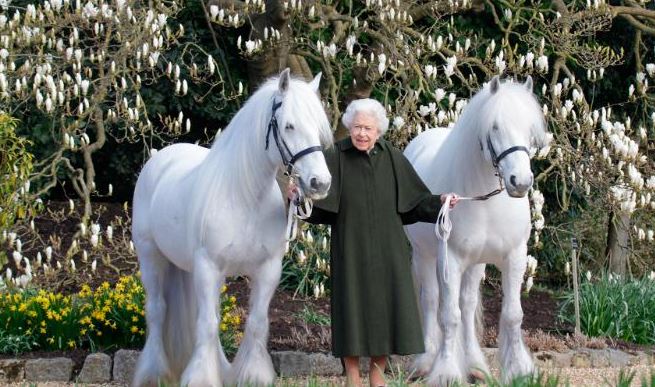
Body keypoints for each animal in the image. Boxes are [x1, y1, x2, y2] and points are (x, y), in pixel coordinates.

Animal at [131, 69, 334, 387]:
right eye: (289, 126)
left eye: (317, 127)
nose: (320, 183)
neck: (244, 198)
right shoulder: (208, 266)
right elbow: (207, 324)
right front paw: (200, 378)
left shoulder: (267, 269)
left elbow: (256, 322)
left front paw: (252, 374)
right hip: (151, 257)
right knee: (157, 311)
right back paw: (154, 373)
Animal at [404, 76, 548, 384]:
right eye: (494, 127)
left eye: (529, 129)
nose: (520, 181)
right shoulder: (451, 259)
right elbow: (449, 316)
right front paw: (446, 372)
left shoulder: (514, 256)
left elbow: (512, 314)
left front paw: (519, 369)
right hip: (425, 256)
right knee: (431, 300)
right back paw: (426, 362)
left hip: (475, 264)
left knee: (468, 306)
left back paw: (475, 366)